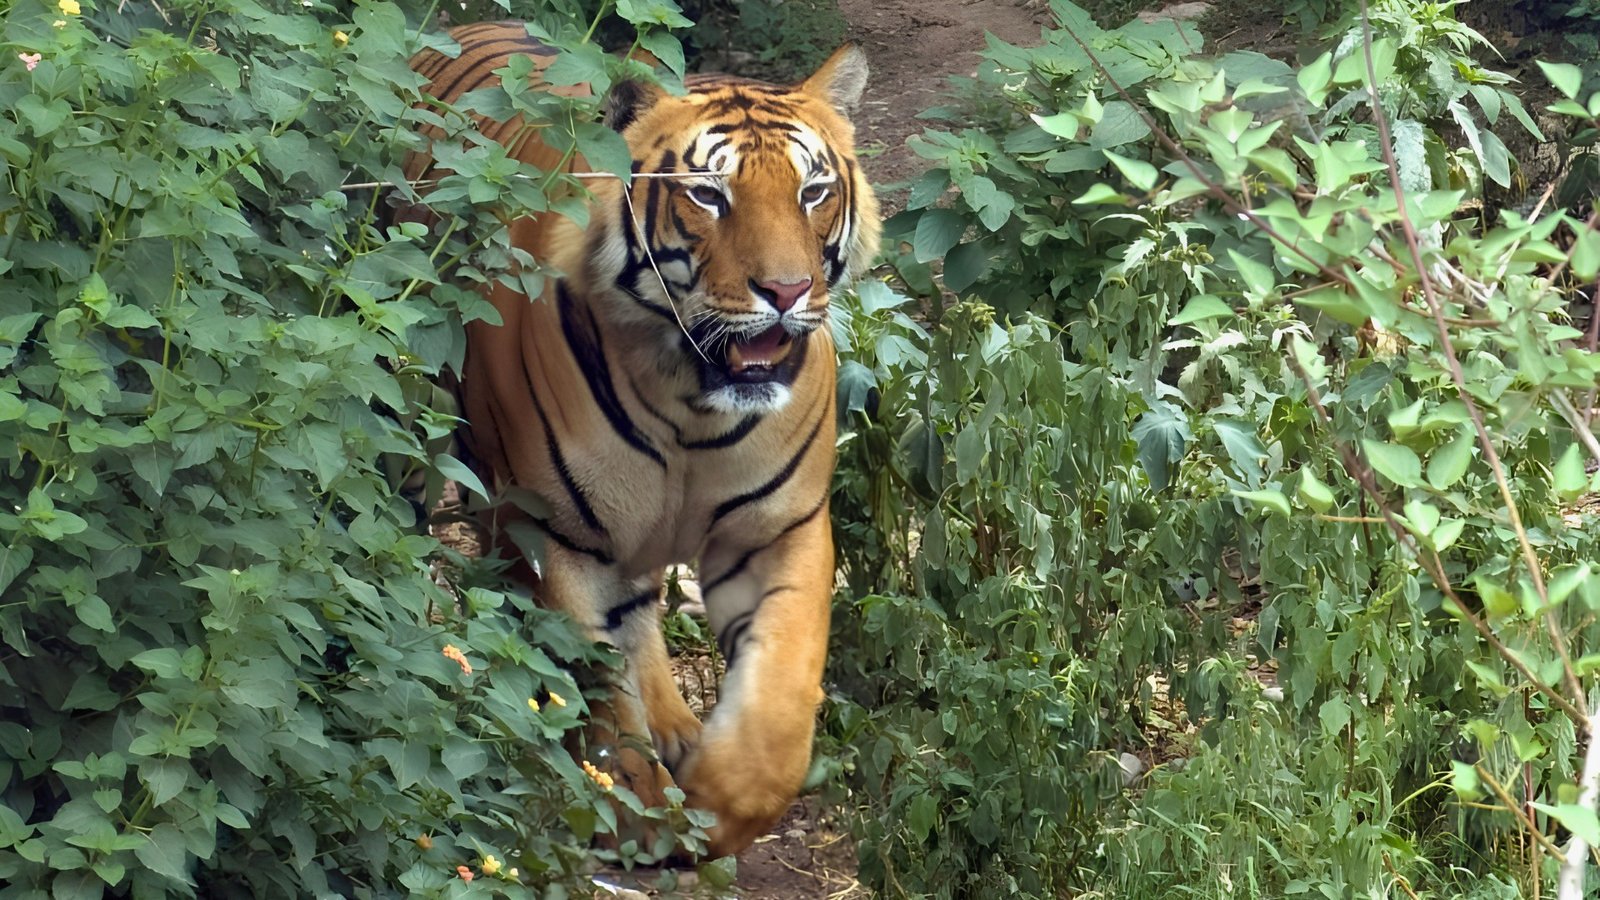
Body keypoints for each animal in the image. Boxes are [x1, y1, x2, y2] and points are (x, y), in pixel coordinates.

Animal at [403, 22, 880, 858]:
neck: (692, 405)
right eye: (709, 195)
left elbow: (780, 699)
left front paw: (719, 801)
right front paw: (627, 800)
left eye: (813, 192)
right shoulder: (550, 530)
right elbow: (590, 675)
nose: (787, 292)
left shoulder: (779, 529)